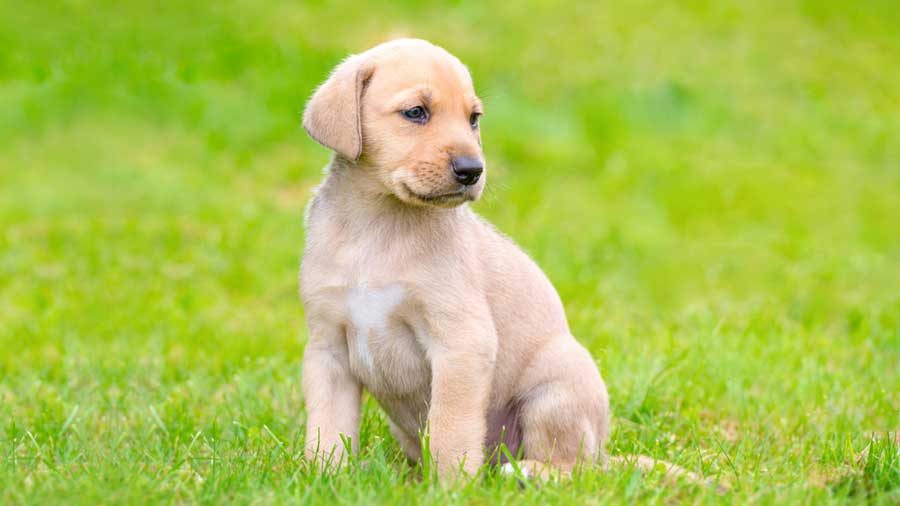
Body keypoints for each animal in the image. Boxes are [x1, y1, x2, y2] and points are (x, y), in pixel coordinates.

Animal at [302, 38, 612, 478]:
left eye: (473, 119)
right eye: (416, 112)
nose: (472, 170)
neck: (377, 228)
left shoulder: (461, 343)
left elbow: (450, 427)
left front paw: (450, 483)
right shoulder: (328, 348)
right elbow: (328, 428)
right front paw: (328, 477)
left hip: (557, 385)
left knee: (573, 466)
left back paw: (528, 473)